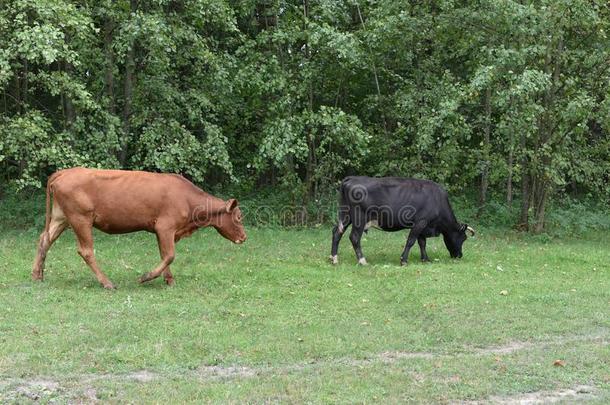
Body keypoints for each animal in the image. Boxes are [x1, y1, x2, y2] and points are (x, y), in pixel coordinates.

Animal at [32, 166, 246, 288]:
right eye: (238, 217)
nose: (244, 237)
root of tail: (66, 171)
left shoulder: (162, 231)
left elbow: (164, 255)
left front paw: (169, 280)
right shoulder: (166, 227)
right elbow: (170, 255)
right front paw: (146, 277)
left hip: (61, 217)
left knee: (44, 240)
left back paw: (37, 275)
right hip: (80, 218)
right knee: (86, 250)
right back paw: (107, 283)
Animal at [328, 176, 476, 266]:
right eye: (463, 238)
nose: (459, 255)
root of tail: (352, 178)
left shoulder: (423, 225)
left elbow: (422, 243)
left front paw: (425, 259)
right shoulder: (420, 223)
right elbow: (411, 241)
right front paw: (403, 260)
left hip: (346, 216)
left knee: (336, 232)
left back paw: (334, 258)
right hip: (359, 218)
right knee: (354, 237)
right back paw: (362, 261)